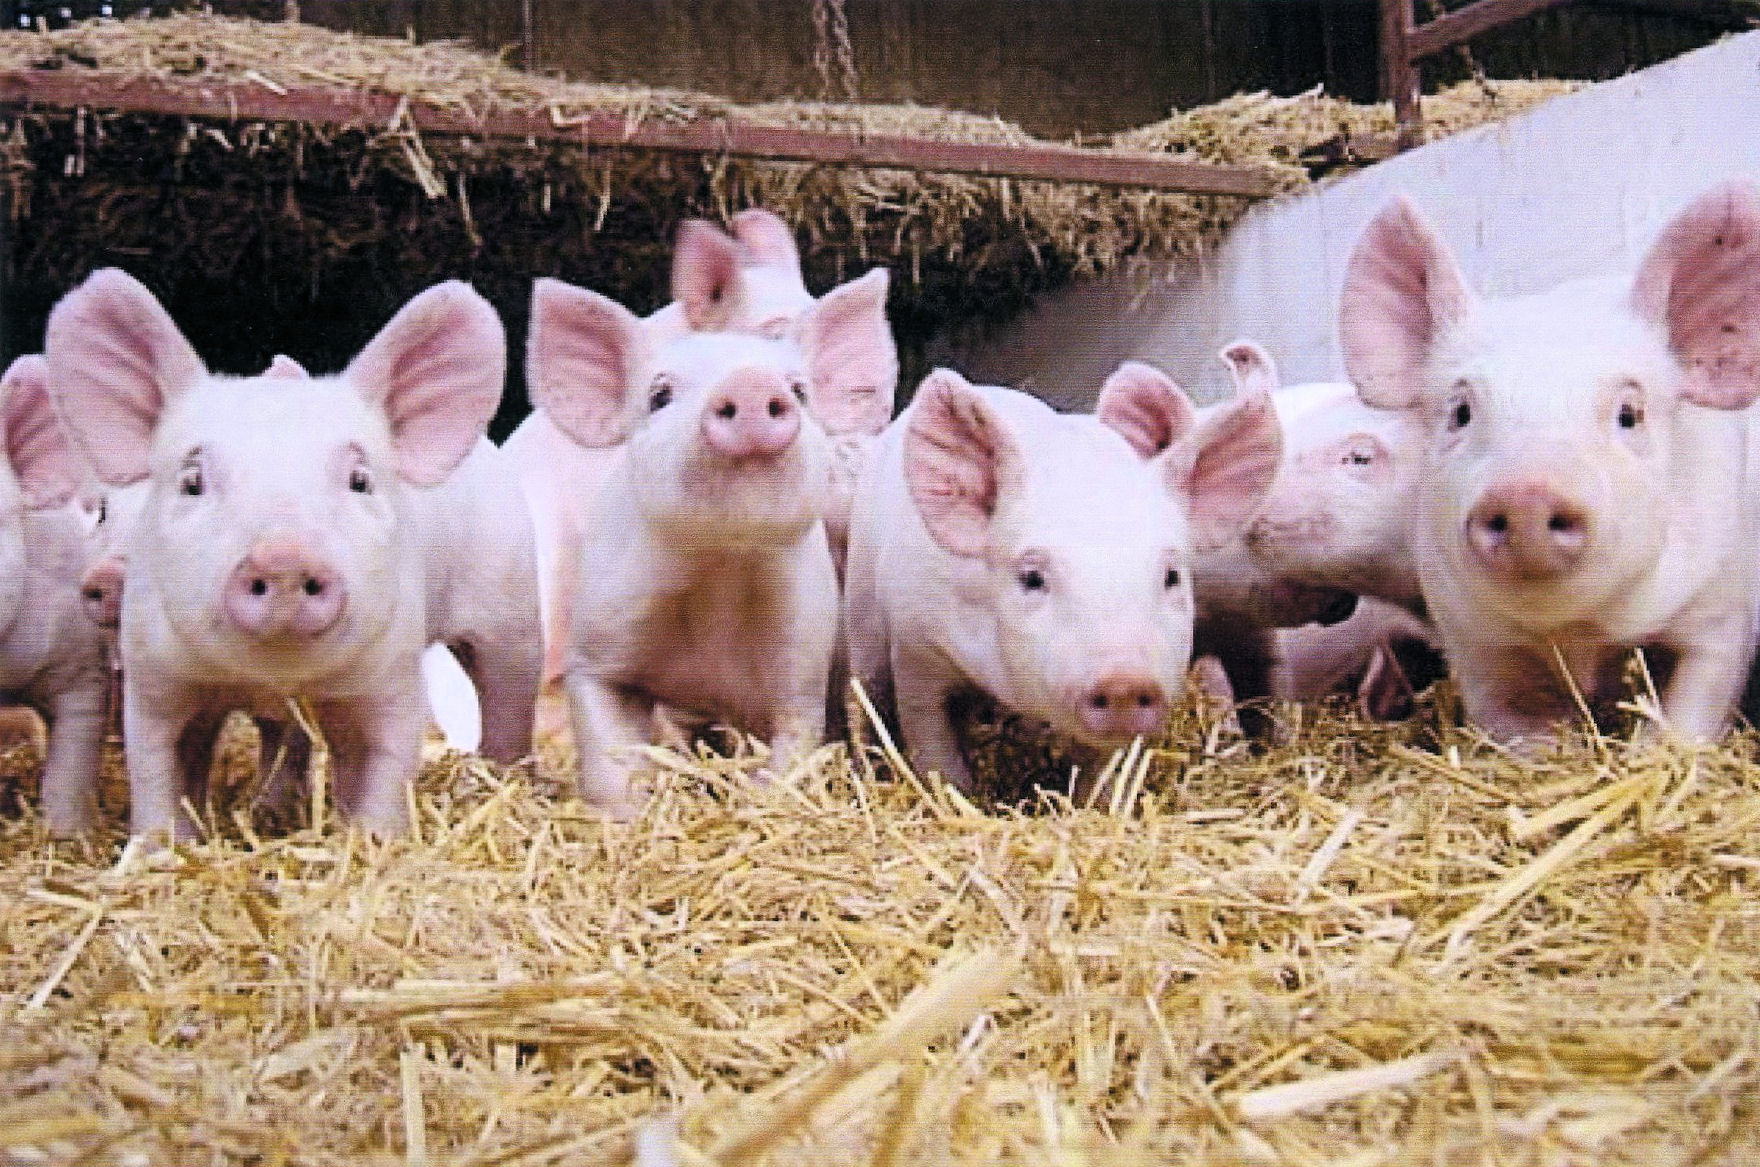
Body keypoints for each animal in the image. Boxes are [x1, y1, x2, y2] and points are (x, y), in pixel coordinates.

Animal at [45, 269, 508, 840]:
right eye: (192, 482)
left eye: (360, 479)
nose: (284, 557)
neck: (271, 675)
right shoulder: (154, 676)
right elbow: (157, 768)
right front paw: (158, 849)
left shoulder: (393, 672)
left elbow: (388, 762)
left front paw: (374, 840)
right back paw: (270, 809)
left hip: (514, 605)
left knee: (507, 694)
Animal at [531, 271, 896, 815]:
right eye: (660, 395)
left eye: (799, 390)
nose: (750, 382)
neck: (718, 574)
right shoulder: (597, 646)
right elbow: (609, 753)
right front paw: (624, 815)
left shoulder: (801, 659)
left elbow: (793, 743)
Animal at [843, 360, 1282, 791]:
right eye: (1032, 577)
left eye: (1171, 576)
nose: (1124, 683)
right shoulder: (917, 650)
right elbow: (934, 750)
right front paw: (953, 792)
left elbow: (1100, 773)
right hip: (862, 612)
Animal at [1338, 183, 1760, 747]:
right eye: (1461, 412)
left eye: (1629, 414)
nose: (1526, 496)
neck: (1577, 634)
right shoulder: (1474, 643)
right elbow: (1514, 724)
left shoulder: (1722, 606)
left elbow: (1691, 705)